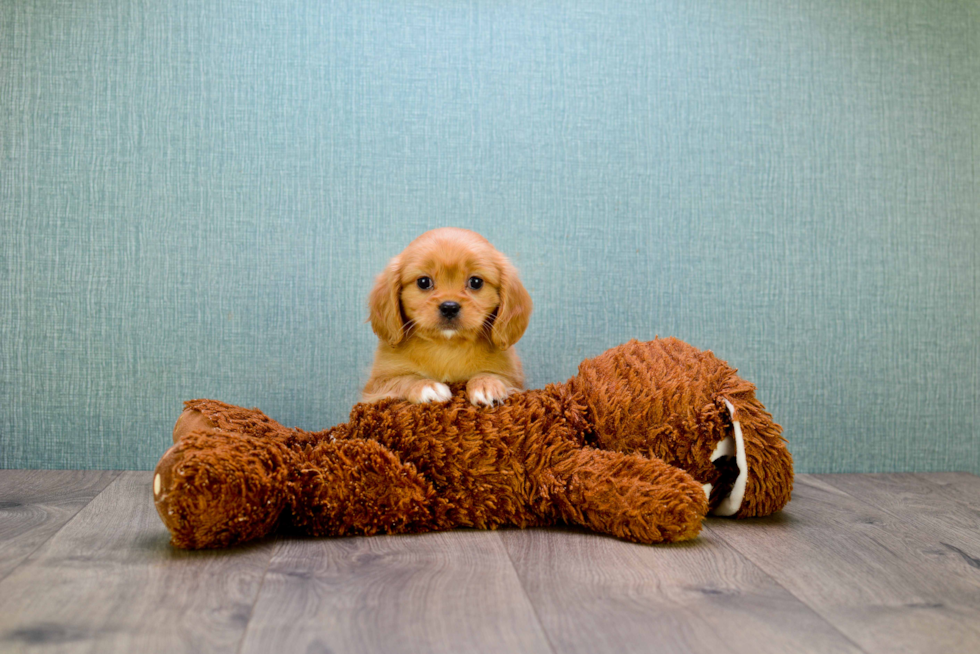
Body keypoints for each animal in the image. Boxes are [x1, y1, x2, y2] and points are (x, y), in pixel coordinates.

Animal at [364, 228, 532, 408]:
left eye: (476, 282)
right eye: (423, 282)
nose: (449, 307)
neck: (447, 346)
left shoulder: (512, 378)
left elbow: (494, 375)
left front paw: (486, 384)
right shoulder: (377, 385)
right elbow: (404, 379)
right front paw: (426, 386)